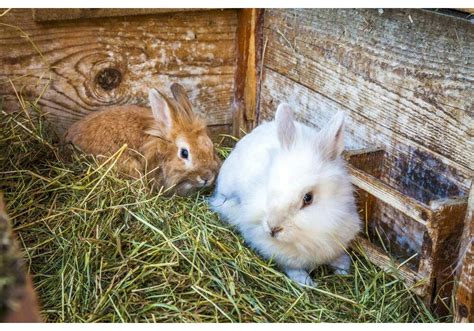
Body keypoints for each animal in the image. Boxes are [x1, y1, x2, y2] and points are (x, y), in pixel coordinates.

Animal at [209, 104, 362, 288]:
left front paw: (343, 269)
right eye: (269, 186)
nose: (273, 228)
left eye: (308, 198)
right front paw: (306, 283)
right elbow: (292, 267)